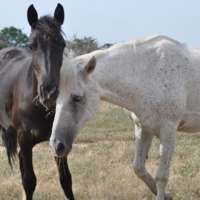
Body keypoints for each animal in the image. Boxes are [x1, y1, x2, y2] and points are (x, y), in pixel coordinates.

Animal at [0, 3, 74, 200]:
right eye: (32, 46)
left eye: (62, 44)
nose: (48, 93)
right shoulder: (24, 140)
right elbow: (29, 181)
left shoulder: (59, 141)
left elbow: (66, 180)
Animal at [49, 35, 200, 200]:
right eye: (55, 98)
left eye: (77, 98)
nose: (56, 145)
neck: (150, 74)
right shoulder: (143, 127)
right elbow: (139, 168)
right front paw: (167, 195)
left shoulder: (168, 131)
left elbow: (161, 177)